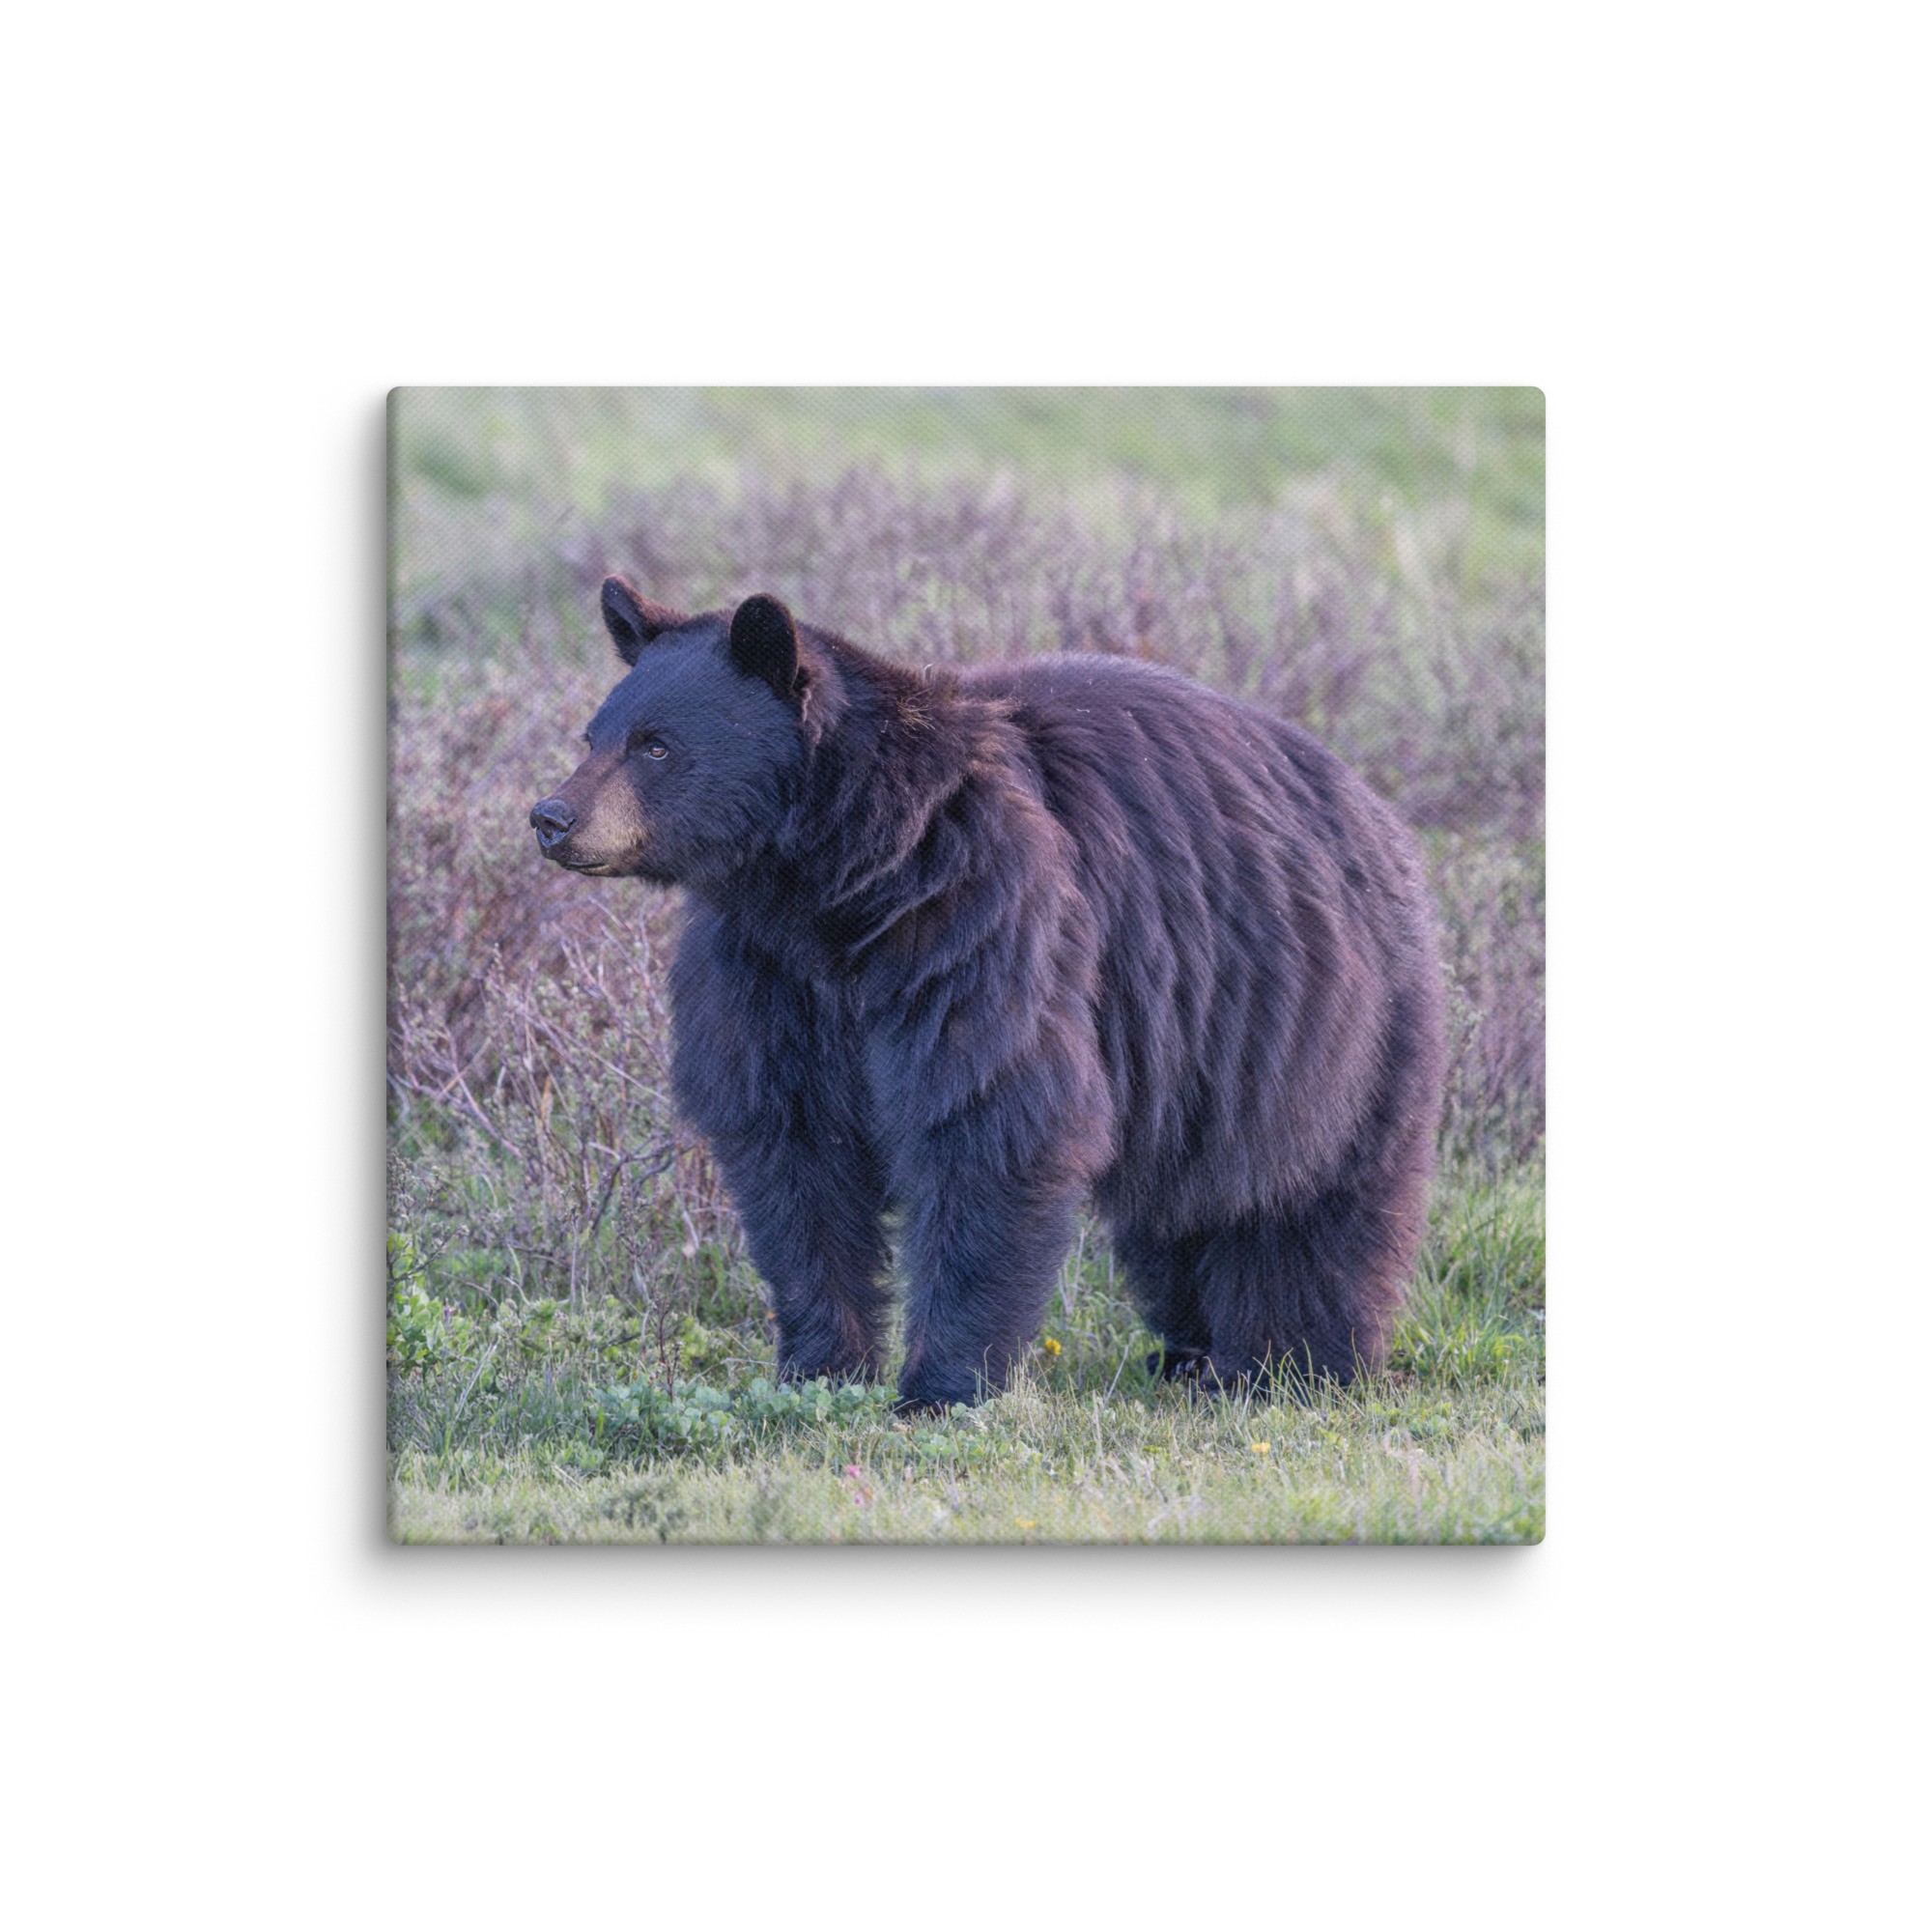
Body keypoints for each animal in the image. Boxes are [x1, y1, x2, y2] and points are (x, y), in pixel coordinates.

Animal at [530, 577, 1447, 1412]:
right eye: (593, 733)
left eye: (655, 745)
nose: (552, 816)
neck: (837, 882)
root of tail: (1374, 807)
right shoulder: (766, 973)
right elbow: (792, 1150)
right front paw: (820, 1367)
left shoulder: (978, 918)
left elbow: (988, 1119)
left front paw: (940, 1386)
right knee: (1183, 1210)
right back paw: (1189, 1352)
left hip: (1320, 1021)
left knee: (1311, 1199)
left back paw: (1290, 1361)